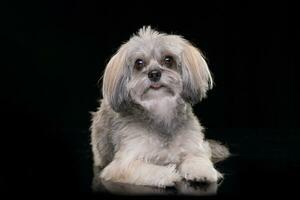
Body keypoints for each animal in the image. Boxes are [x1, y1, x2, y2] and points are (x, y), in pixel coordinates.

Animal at [90, 26, 229, 188]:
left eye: (168, 60)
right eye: (139, 63)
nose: (154, 73)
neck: (160, 108)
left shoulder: (194, 148)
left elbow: (197, 159)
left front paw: (201, 171)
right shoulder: (122, 165)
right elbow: (149, 170)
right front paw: (168, 175)